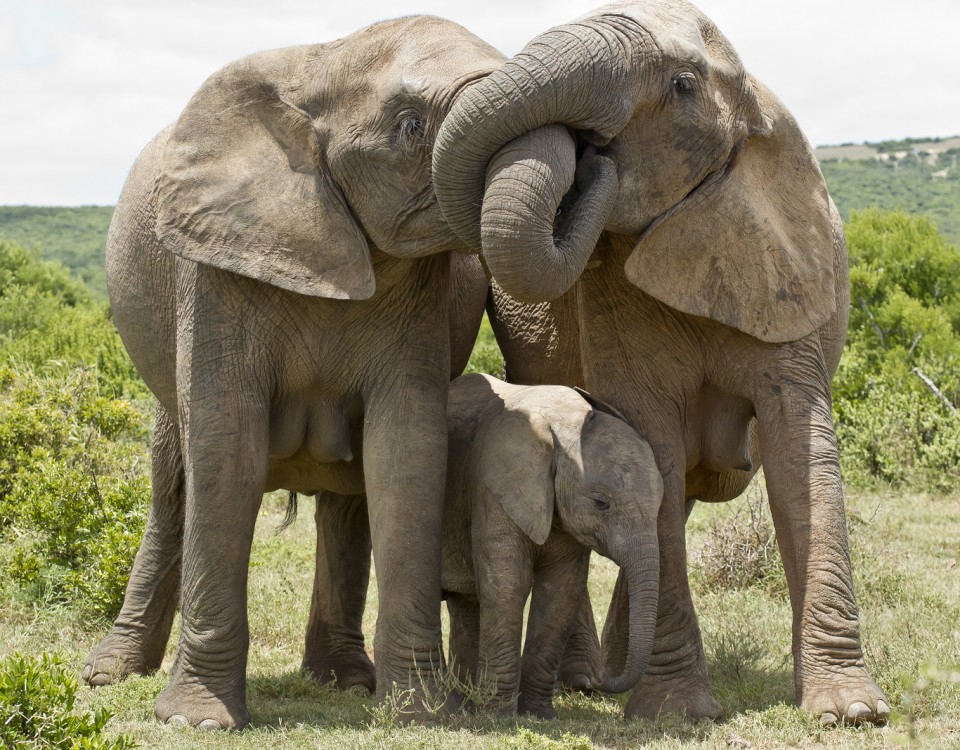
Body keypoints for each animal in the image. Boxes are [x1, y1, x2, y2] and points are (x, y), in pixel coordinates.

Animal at [84, 17, 502, 732]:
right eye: (410, 126)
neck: (325, 65)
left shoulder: (424, 294)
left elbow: (406, 453)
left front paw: (420, 715)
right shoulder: (214, 268)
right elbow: (226, 450)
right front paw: (197, 721)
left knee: (346, 499)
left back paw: (344, 682)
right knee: (173, 488)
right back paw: (108, 674)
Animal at [440, 374, 660, 720]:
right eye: (600, 504)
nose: (591, 680)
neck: (566, 422)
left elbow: (561, 591)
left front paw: (537, 715)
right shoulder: (494, 485)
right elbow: (508, 586)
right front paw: (498, 718)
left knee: (464, 604)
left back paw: (463, 704)